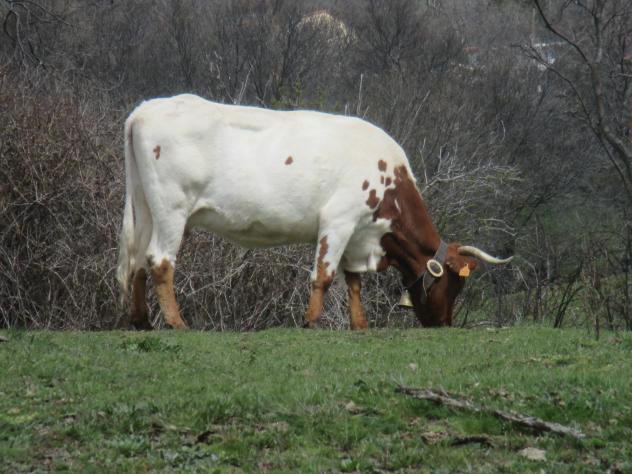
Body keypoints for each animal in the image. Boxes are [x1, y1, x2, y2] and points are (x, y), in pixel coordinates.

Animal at [116, 94, 512, 330]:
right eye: (455, 282)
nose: (443, 323)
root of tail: (145, 109)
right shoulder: (338, 221)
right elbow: (324, 275)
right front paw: (309, 323)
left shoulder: (357, 234)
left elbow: (353, 281)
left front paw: (359, 326)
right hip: (172, 208)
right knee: (160, 261)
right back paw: (177, 324)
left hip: (145, 206)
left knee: (137, 261)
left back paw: (141, 321)